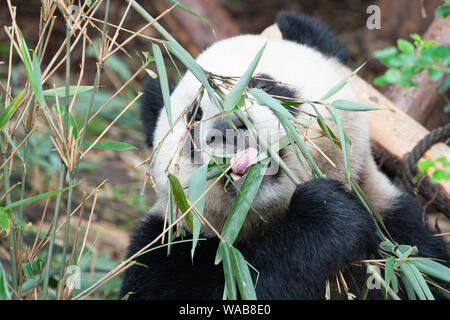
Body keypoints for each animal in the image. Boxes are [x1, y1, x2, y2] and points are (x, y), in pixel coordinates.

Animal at [119, 11, 450, 298]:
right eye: (193, 116)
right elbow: (245, 283)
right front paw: (325, 215)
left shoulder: (397, 229)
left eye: (262, 84)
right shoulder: (166, 246)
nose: (228, 127)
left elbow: (423, 272)